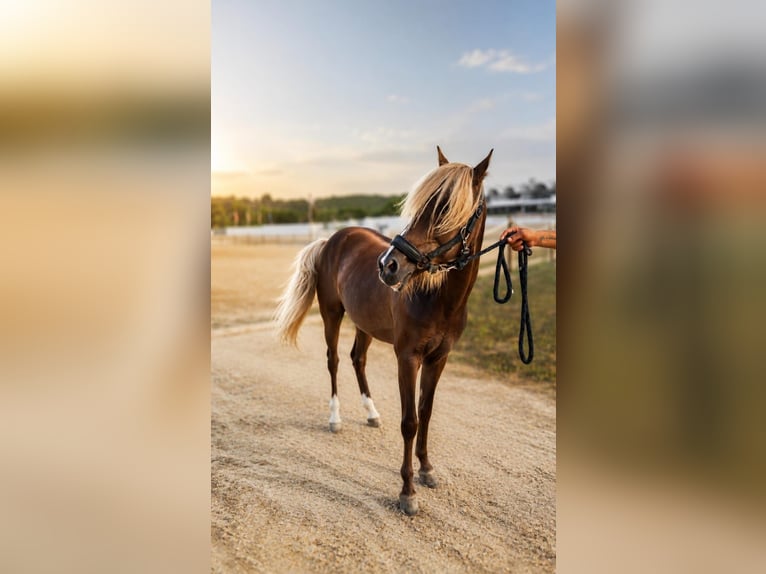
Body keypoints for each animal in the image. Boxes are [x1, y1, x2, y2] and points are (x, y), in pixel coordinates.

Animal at [274, 147, 493, 515]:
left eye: (446, 209)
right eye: (420, 205)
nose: (389, 266)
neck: (437, 297)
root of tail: (333, 238)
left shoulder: (439, 358)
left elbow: (425, 414)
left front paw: (427, 470)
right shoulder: (407, 357)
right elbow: (409, 422)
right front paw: (407, 492)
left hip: (364, 324)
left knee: (357, 359)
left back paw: (372, 414)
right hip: (332, 315)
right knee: (334, 361)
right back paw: (335, 419)